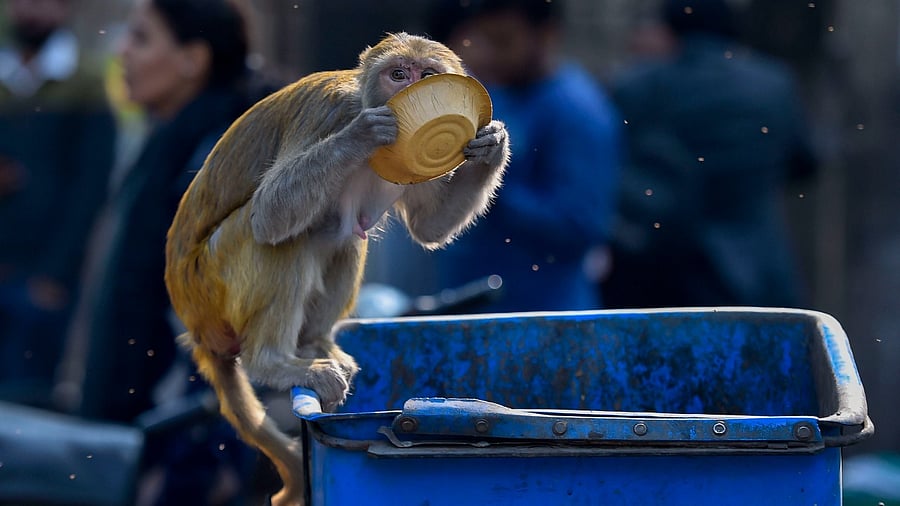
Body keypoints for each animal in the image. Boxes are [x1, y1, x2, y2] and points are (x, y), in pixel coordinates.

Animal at [164, 33, 509, 506]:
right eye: (398, 74)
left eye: (426, 74)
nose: (410, 87)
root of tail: (198, 328)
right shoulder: (327, 111)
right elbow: (269, 215)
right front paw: (360, 135)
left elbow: (428, 227)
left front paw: (491, 144)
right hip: (211, 283)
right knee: (283, 238)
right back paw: (274, 362)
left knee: (342, 238)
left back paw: (313, 342)